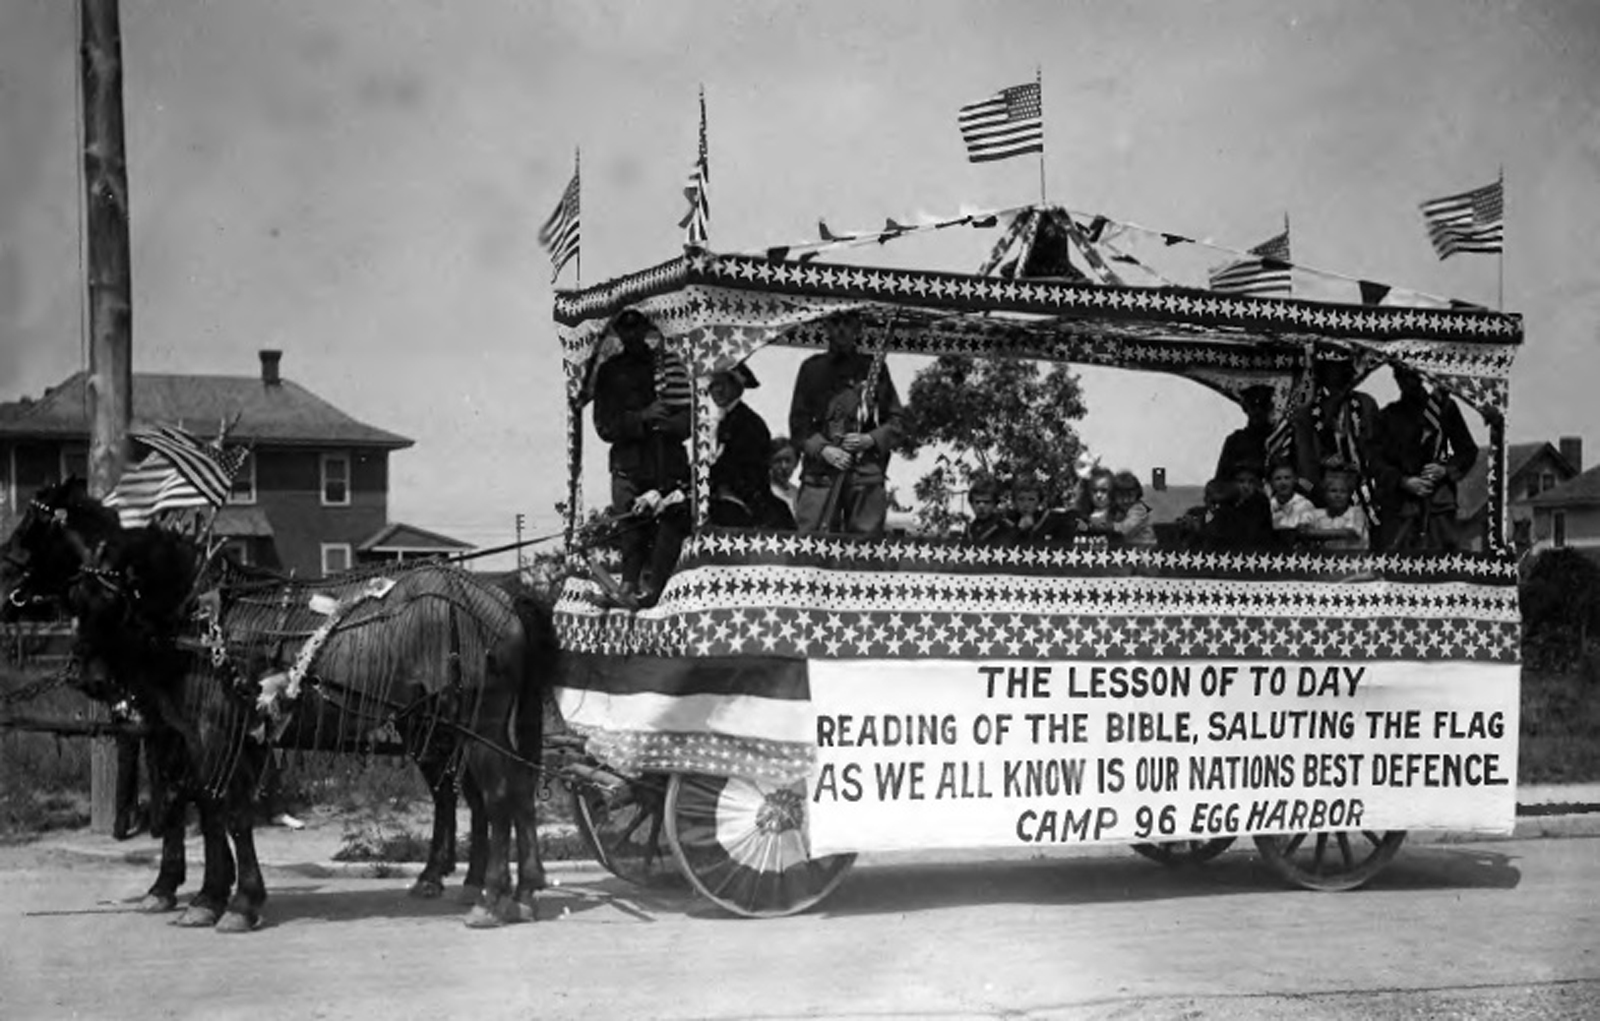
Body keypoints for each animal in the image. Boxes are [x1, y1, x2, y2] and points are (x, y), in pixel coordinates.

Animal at [3, 483, 556, 934]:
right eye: (78, 597)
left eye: (31, 526)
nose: (88, 676)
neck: (200, 621)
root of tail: (502, 598)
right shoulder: (200, 734)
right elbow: (209, 808)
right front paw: (205, 893)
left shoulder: (209, 730)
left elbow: (224, 810)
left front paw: (230, 900)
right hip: (444, 725)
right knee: (494, 792)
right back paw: (513, 889)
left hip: (474, 721)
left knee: (497, 794)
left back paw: (490, 895)